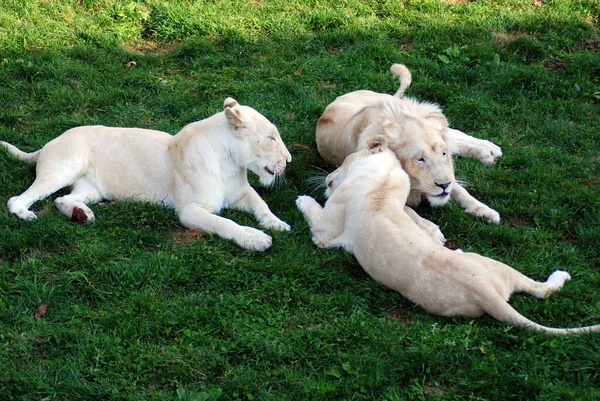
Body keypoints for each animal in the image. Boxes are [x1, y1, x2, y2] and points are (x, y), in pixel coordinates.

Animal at [0, 98, 290, 248]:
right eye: (271, 138)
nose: (288, 160)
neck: (230, 163)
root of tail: (49, 142)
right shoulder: (189, 211)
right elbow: (225, 223)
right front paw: (255, 238)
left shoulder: (242, 192)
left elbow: (262, 205)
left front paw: (277, 224)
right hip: (65, 167)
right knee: (19, 198)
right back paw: (25, 213)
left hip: (92, 190)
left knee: (63, 199)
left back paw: (82, 215)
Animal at [296, 134, 600, 334]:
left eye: (343, 162)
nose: (328, 179)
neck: (381, 181)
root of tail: (484, 292)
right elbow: (411, 213)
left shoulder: (326, 230)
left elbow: (314, 213)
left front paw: (303, 198)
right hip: (497, 267)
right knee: (542, 290)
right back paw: (561, 275)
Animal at [316, 63, 504, 228]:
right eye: (420, 159)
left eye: (443, 154)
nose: (444, 186)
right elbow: (407, 210)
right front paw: (431, 230)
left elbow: (460, 189)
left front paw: (485, 210)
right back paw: (487, 153)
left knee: (454, 133)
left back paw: (489, 150)